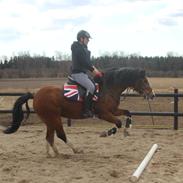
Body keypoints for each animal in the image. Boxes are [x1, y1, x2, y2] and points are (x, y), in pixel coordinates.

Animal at [3, 67, 154, 156]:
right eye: (144, 81)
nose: (152, 95)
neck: (108, 88)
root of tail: (36, 95)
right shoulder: (103, 114)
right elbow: (117, 123)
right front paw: (106, 133)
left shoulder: (114, 110)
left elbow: (128, 113)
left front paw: (128, 129)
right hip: (54, 118)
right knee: (60, 135)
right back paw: (75, 150)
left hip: (50, 119)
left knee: (49, 137)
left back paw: (53, 154)